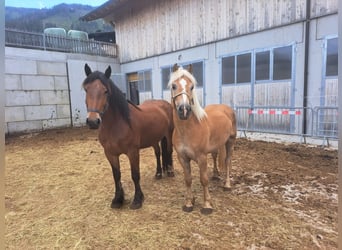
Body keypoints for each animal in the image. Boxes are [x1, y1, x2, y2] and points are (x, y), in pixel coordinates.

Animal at [82, 64, 174, 209]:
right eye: (86, 89)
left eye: (106, 91)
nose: (93, 121)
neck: (116, 124)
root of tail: (165, 104)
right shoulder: (110, 154)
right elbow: (116, 175)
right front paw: (117, 199)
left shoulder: (133, 152)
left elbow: (135, 175)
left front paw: (137, 199)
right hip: (154, 139)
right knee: (158, 153)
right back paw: (159, 173)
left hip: (168, 134)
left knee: (169, 151)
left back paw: (170, 171)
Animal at [168, 63, 236, 214]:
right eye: (174, 86)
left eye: (192, 86)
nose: (184, 110)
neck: (187, 131)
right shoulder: (182, 158)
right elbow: (188, 179)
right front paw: (189, 203)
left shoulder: (201, 157)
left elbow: (203, 179)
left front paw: (207, 205)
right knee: (215, 156)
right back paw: (216, 175)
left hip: (230, 141)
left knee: (228, 161)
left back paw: (227, 185)